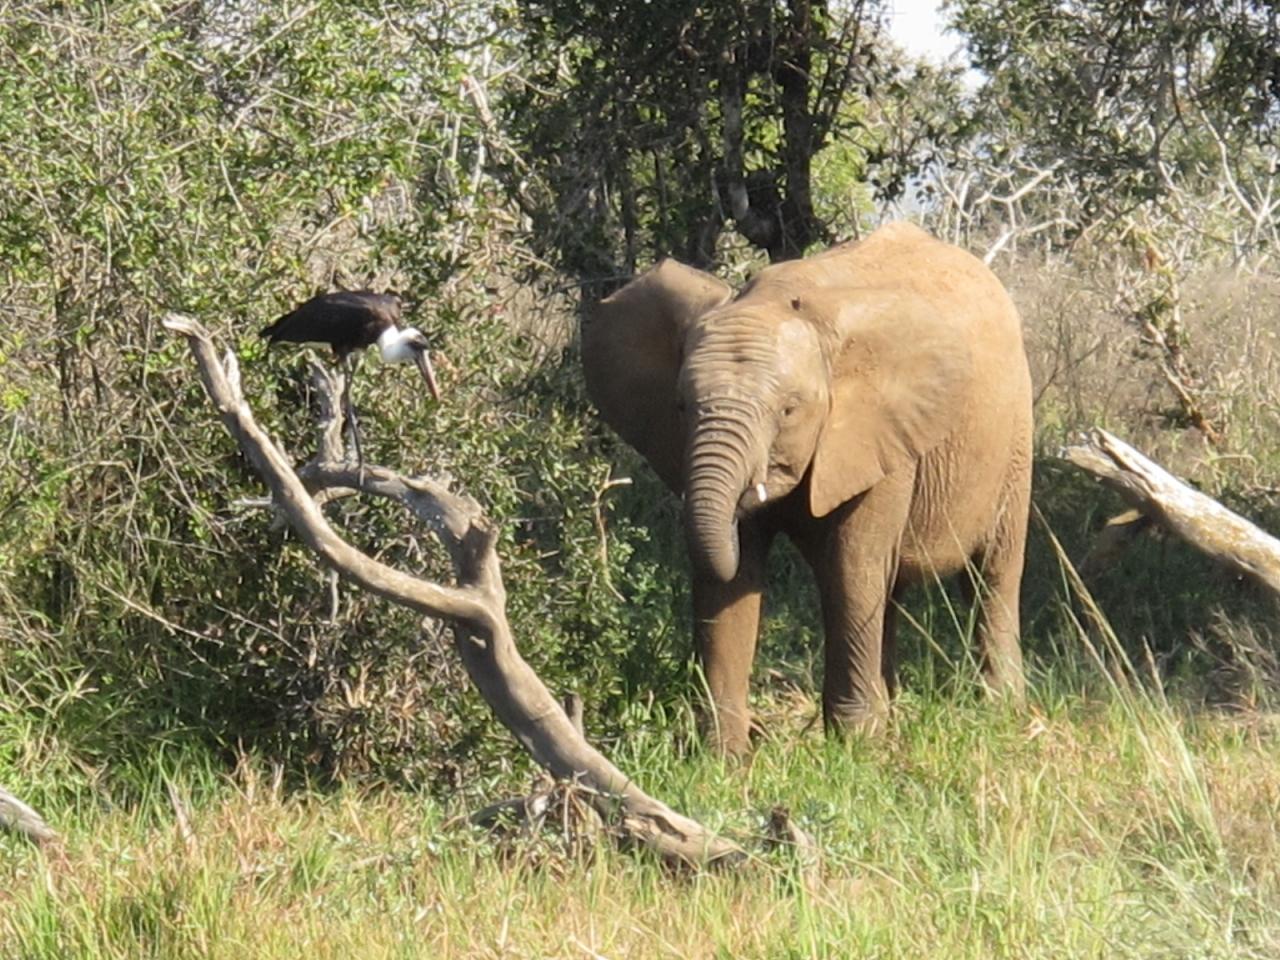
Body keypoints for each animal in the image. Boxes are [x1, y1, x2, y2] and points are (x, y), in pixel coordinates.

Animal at [582, 222, 1032, 755]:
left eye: (788, 410)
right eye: (681, 407)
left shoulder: (879, 439)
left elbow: (850, 569)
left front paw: (855, 749)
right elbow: (731, 584)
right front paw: (723, 758)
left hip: (1015, 437)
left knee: (992, 575)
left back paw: (1001, 711)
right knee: (892, 590)